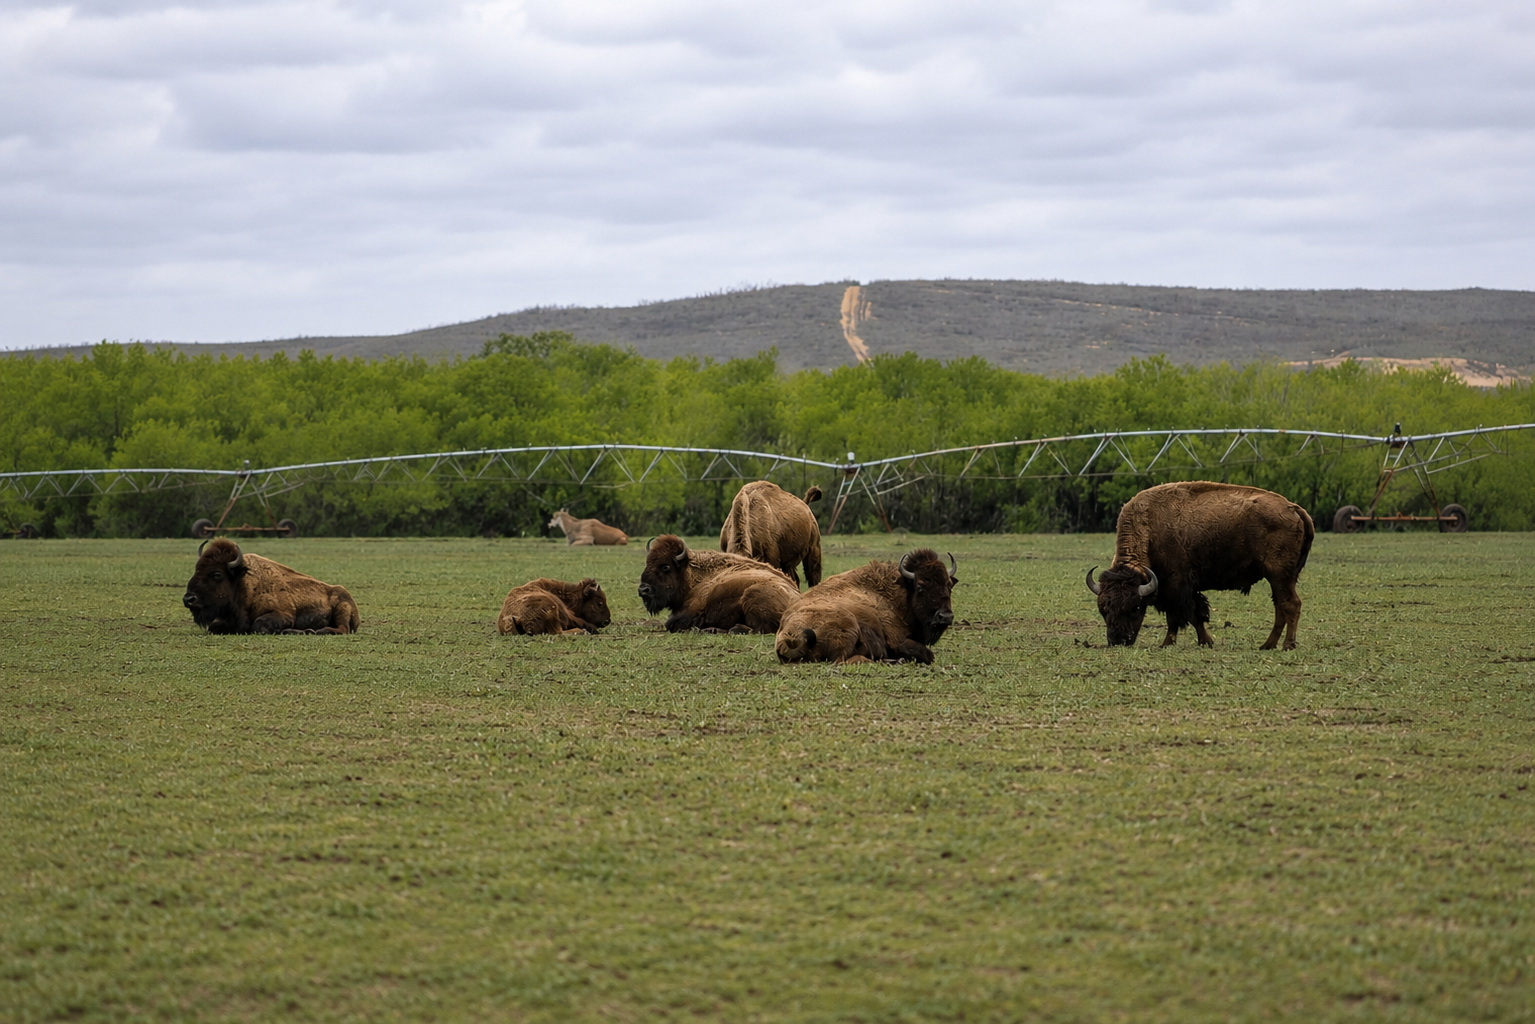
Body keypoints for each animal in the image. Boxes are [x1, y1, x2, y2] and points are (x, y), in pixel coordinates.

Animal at [183, 538, 359, 634]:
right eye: (196, 568)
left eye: (217, 574)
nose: (188, 599)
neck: (243, 584)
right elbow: (213, 627)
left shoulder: (284, 614)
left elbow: (259, 625)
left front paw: (303, 631)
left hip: (341, 609)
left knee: (342, 629)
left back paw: (321, 631)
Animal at [638, 535, 799, 634]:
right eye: (647, 562)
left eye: (665, 566)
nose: (643, 589)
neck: (692, 575)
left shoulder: (691, 611)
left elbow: (671, 623)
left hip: (752, 595)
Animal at [776, 549, 958, 664]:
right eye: (920, 587)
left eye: (949, 586)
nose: (945, 617)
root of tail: (788, 637)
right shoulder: (897, 640)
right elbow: (928, 654)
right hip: (849, 624)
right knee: (843, 661)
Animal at [1086, 481, 1315, 650]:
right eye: (1103, 610)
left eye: (1135, 607)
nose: (1117, 641)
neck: (1149, 528)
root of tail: (1293, 508)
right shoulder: (1186, 588)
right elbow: (1195, 615)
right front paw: (1205, 641)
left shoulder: (1176, 586)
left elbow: (1180, 616)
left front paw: (1168, 643)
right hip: (1280, 579)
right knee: (1280, 606)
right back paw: (1268, 645)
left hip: (1280, 576)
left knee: (1291, 605)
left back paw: (1287, 645)